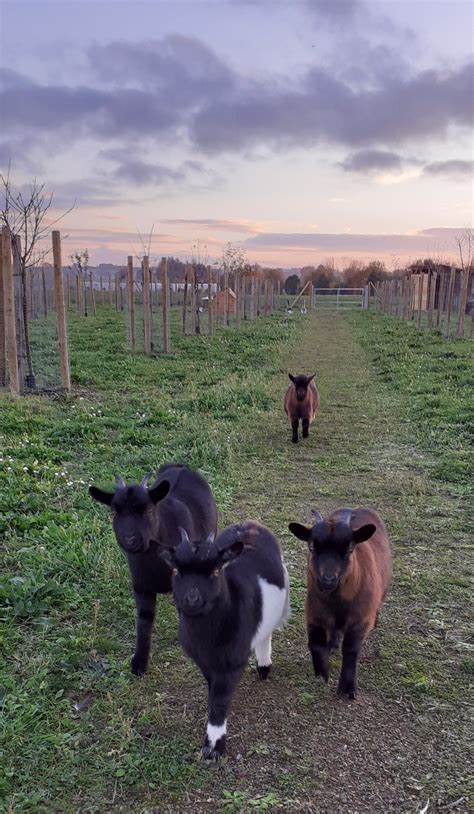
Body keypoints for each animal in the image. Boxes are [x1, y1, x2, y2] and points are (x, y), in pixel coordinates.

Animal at [90, 462, 218, 680]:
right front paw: (139, 662)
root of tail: (181, 467)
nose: (130, 540)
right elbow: (144, 620)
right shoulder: (141, 586)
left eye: (149, 511)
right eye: (115, 512)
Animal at [156, 524, 288, 760]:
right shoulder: (204, 661)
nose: (192, 599)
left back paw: (264, 667)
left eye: (215, 572)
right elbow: (213, 689)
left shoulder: (233, 662)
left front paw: (214, 748)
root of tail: (251, 524)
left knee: (266, 634)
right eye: (176, 571)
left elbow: (220, 699)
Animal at [286, 506, 390, 700]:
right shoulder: (313, 612)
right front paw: (322, 670)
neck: (338, 602)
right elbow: (315, 644)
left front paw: (348, 688)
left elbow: (350, 650)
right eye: (312, 548)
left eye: (349, 550)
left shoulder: (360, 620)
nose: (327, 579)